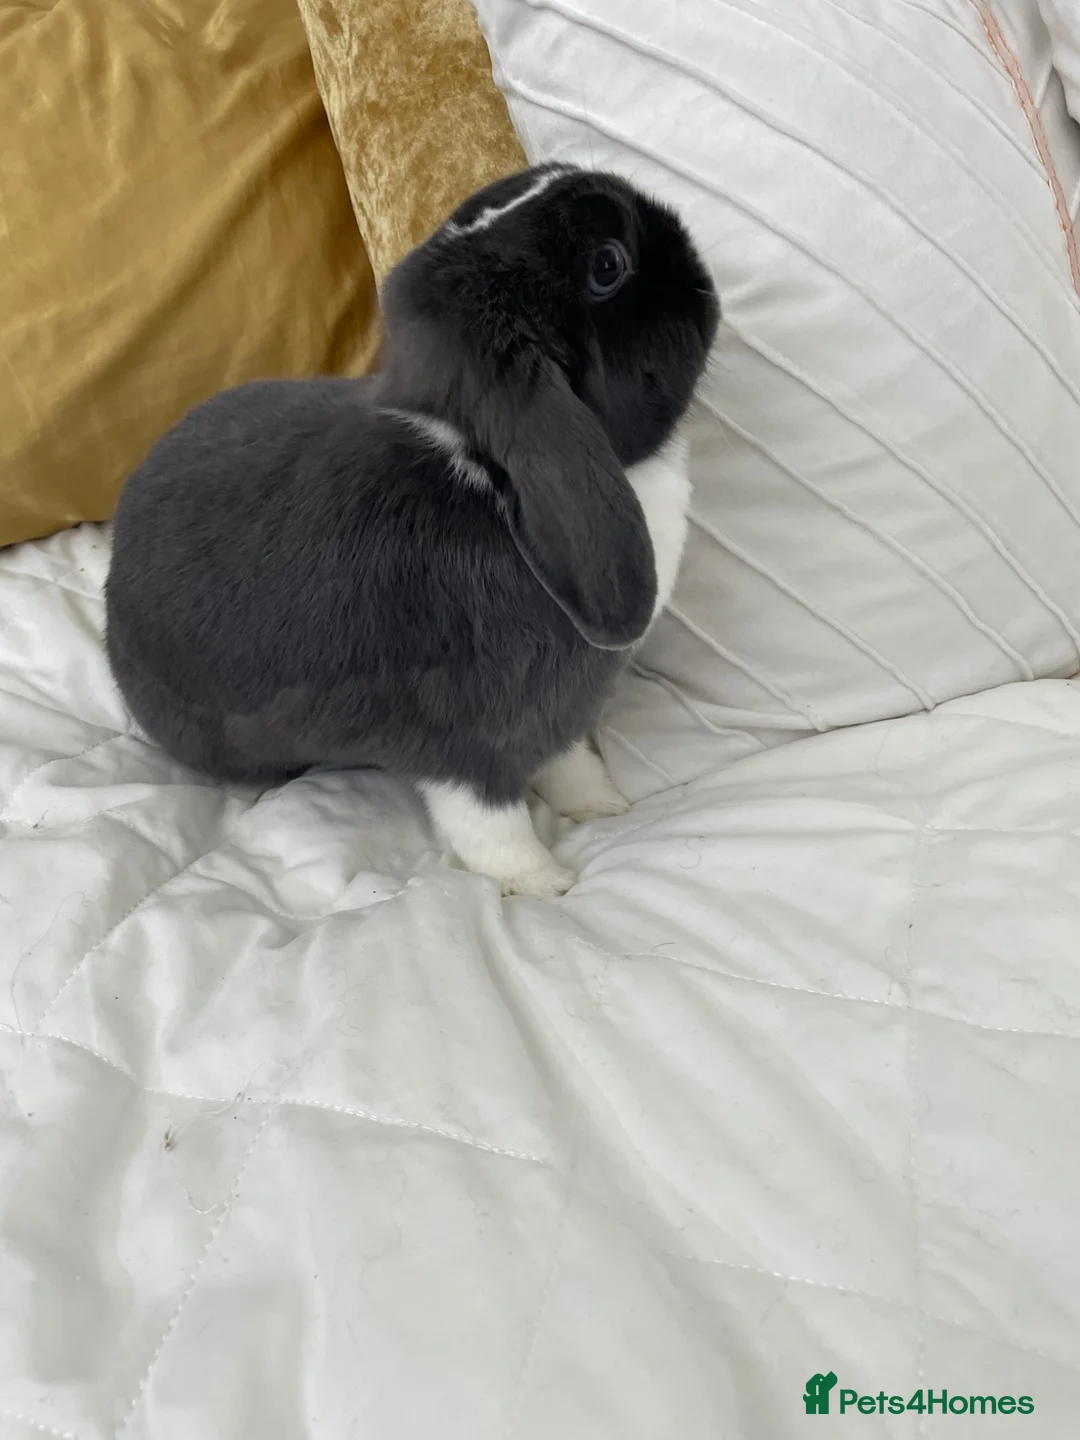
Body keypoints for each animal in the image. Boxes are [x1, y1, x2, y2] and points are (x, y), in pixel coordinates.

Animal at [105, 163, 719, 897]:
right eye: (608, 266)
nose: (702, 272)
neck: (492, 478)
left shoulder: (558, 713)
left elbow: (569, 763)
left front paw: (602, 806)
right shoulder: (469, 742)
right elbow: (491, 826)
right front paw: (548, 883)